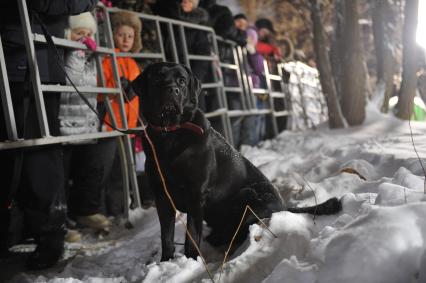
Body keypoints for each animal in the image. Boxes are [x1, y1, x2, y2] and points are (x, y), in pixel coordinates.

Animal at [131, 62, 342, 262]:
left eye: (182, 81)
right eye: (157, 78)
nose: (172, 89)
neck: (169, 135)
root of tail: (283, 207)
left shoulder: (195, 195)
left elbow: (191, 235)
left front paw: (191, 260)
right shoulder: (162, 198)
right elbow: (166, 236)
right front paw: (165, 262)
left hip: (249, 194)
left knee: (244, 229)